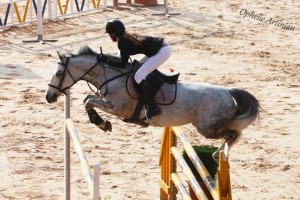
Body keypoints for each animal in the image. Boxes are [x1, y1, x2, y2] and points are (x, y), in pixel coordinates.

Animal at [45, 45, 260, 159]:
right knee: (234, 134)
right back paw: (218, 155)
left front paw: (103, 124)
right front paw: (102, 123)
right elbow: (87, 99)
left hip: (207, 128)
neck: (111, 76)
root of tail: (228, 91)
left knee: (233, 134)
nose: (49, 97)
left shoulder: (117, 108)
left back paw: (217, 155)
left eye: (58, 73)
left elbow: (88, 101)